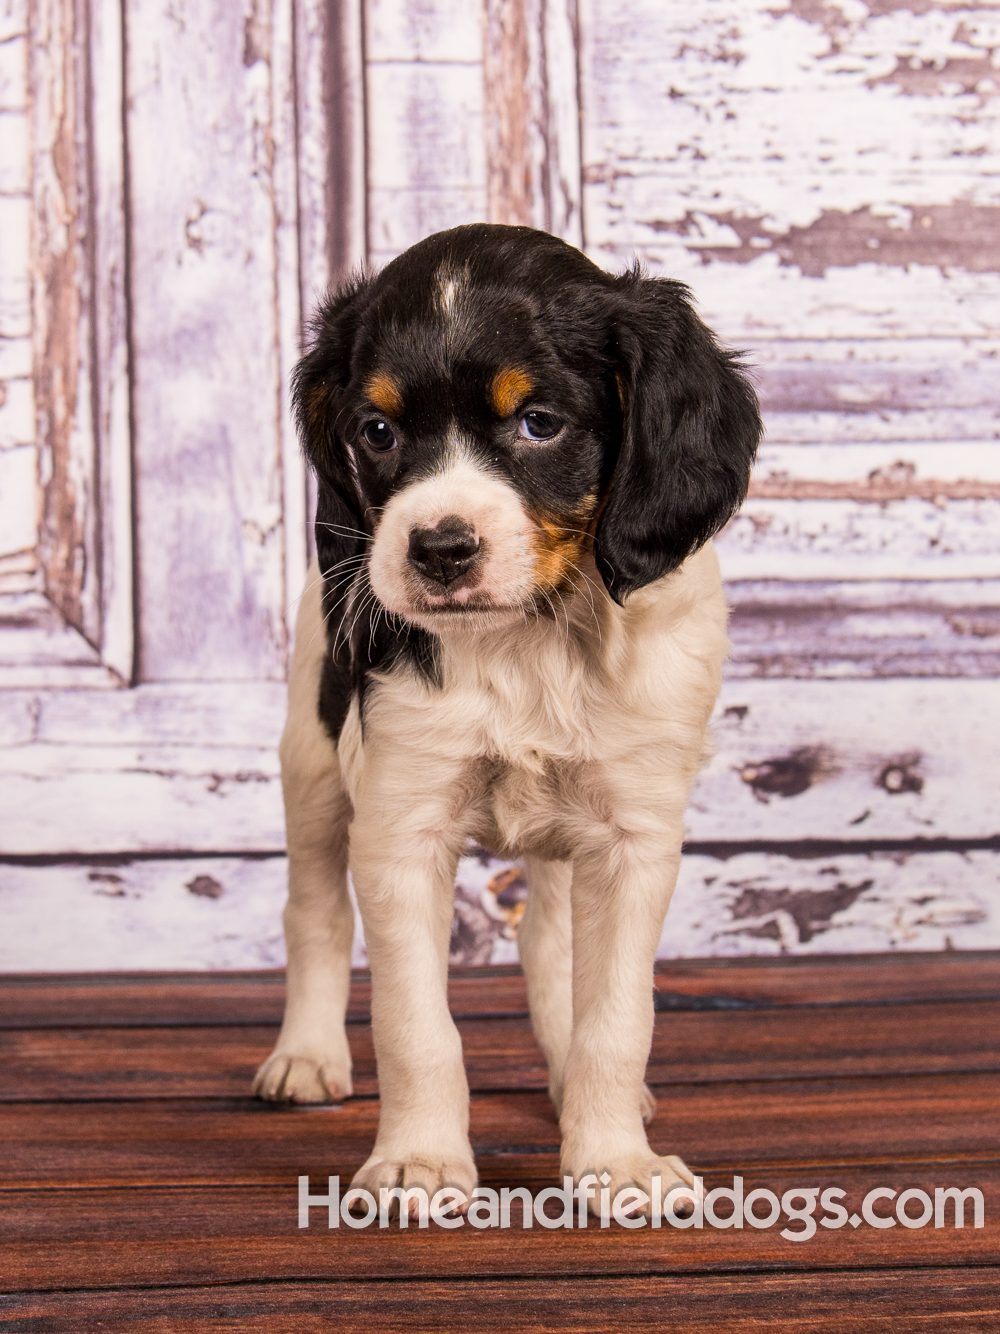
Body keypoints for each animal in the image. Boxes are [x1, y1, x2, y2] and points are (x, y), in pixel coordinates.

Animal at [254, 224, 762, 1216]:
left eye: (539, 423)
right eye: (377, 432)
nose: (438, 549)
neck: (530, 640)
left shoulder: (633, 835)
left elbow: (616, 1016)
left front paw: (615, 1162)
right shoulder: (400, 825)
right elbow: (416, 1024)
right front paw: (418, 1161)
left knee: (547, 940)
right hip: (312, 760)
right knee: (313, 913)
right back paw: (306, 1054)